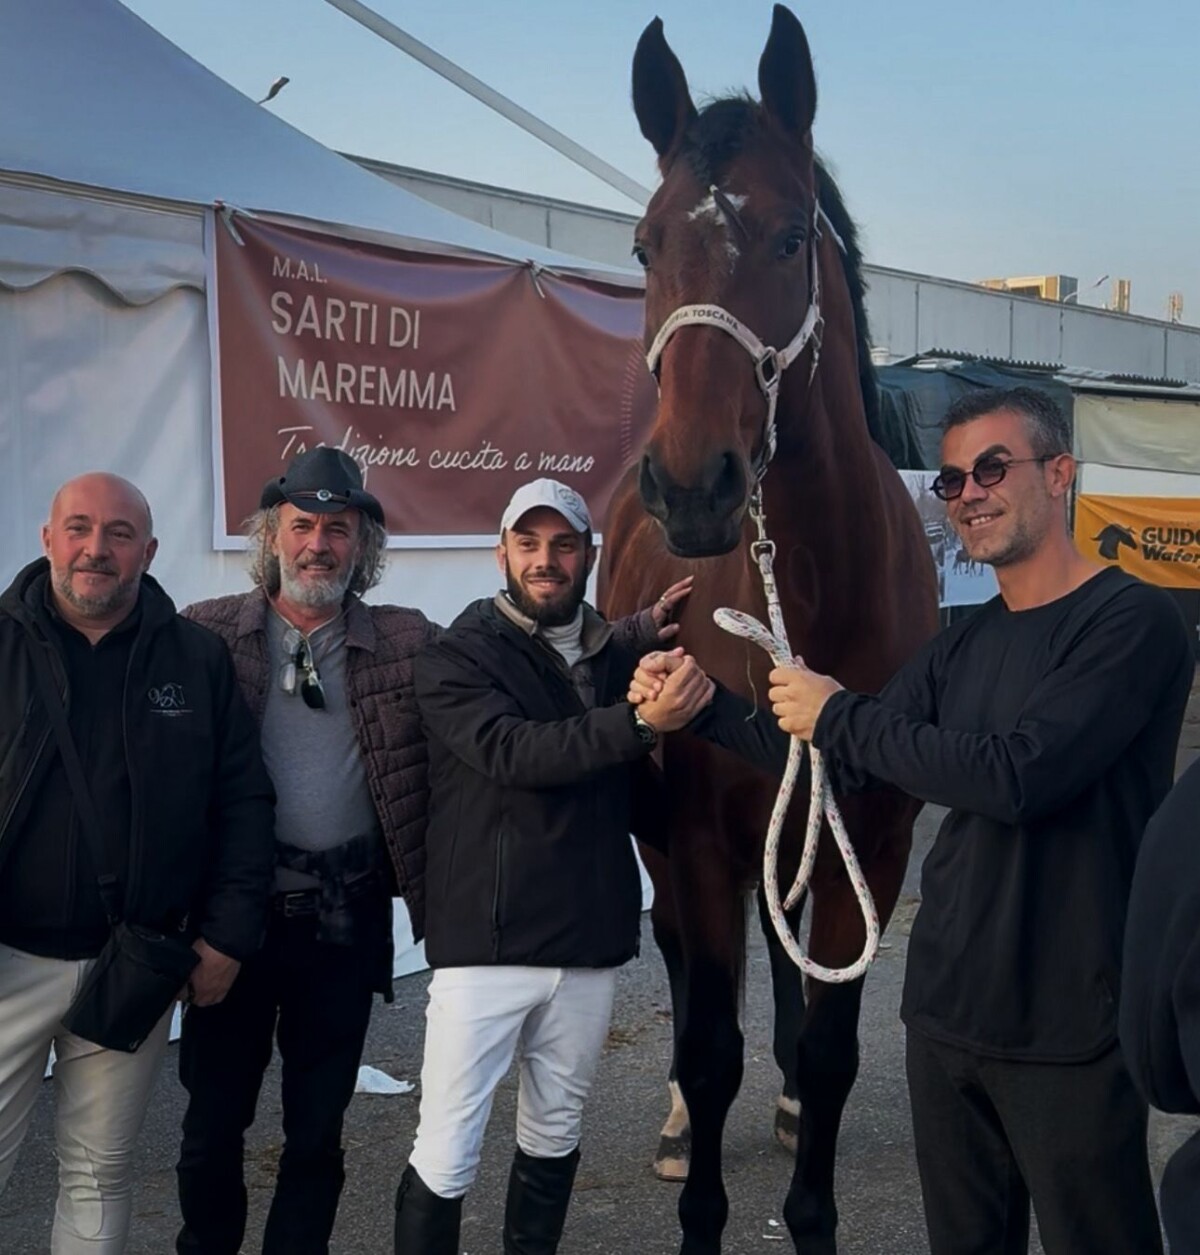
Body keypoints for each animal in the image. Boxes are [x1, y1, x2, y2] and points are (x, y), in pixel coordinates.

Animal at [598, 8, 939, 1253]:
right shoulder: (695, 837)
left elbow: (833, 1046)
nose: (693, 484)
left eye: (793, 238)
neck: (810, 600)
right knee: (687, 969)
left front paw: (812, 1200)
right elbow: (707, 1046)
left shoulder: (872, 834)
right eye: (645, 246)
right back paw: (675, 1124)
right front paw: (701, 1199)